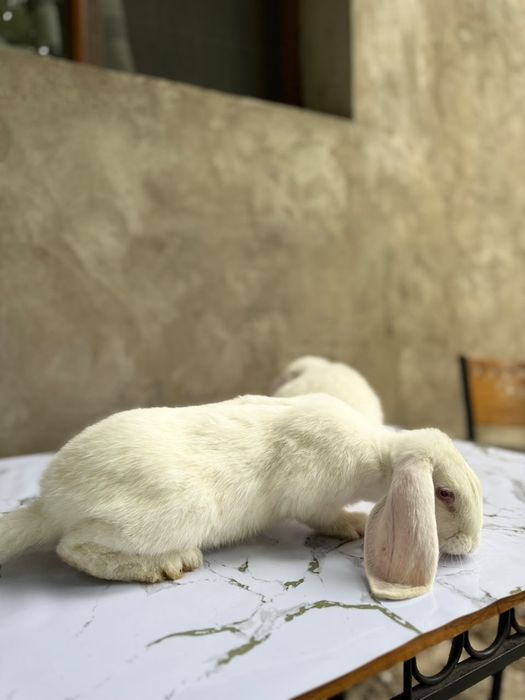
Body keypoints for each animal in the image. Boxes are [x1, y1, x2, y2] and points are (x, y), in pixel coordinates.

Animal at [0, 393, 482, 599]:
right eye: (445, 493)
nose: (472, 544)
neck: (377, 454)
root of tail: (49, 504)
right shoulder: (311, 495)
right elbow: (322, 516)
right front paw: (355, 525)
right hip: (164, 516)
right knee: (73, 548)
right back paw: (168, 565)